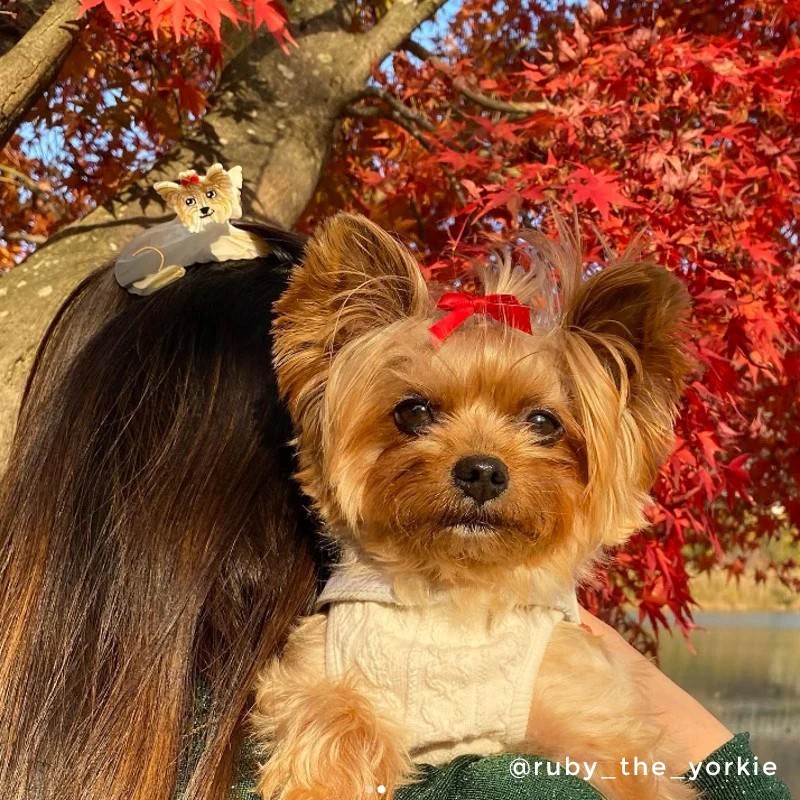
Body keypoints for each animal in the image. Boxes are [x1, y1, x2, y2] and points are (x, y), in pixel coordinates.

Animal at [255, 212, 692, 800]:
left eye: (543, 422)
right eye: (413, 411)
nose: (482, 471)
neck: (454, 590)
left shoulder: (594, 717)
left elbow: (633, 772)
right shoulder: (318, 665)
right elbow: (335, 708)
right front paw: (326, 782)